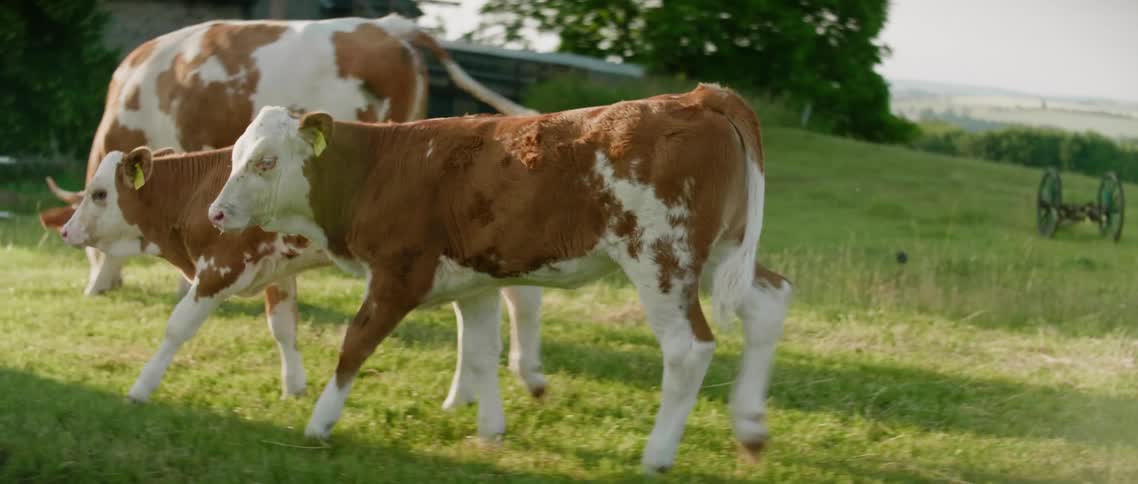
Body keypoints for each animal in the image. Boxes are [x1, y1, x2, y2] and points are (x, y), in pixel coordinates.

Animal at [56, 146, 549, 408]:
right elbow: (283, 326)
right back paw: (463, 396)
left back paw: (528, 374)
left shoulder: (219, 269)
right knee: (477, 319)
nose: (65, 231)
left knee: (522, 301)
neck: (199, 193)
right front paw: (293, 386)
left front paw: (140, 389)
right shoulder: (277, 269)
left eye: (99, 194)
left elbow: (177, 328)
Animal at [207, 84, 793, 473]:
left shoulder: (399, 274)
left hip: (660, 256)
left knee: (688, 348)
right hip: (721, 253)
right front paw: (490, 430)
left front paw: (319, 423)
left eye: (265, 161)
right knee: (769, 301)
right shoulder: (475, 281)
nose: (216, 213)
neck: (380, 168)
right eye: (233, 156)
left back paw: (658, 454)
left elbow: (356, 344)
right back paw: (751, 428)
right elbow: (481, 351)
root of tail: (697, 97)